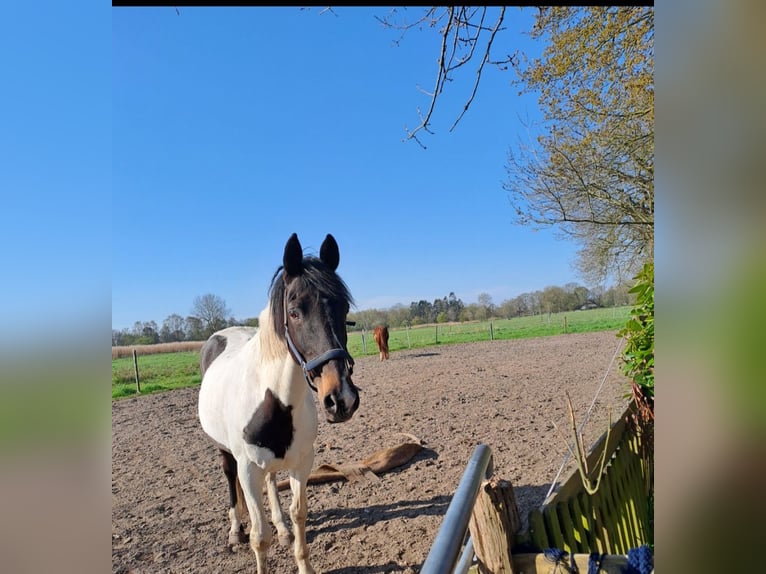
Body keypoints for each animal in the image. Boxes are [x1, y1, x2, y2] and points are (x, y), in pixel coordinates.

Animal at [201, 234, 364, 574]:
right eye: (294, 311)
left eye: (343, 309)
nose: (341, 399)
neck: (273, 400)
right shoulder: (248, 469)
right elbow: (259, 537)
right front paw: (256, 536)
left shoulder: (302, 461)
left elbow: (298, 512)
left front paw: (299, 553)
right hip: (225, 452)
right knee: (230, 480)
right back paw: (235, 530)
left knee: (273, 481)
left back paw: (282, 529)